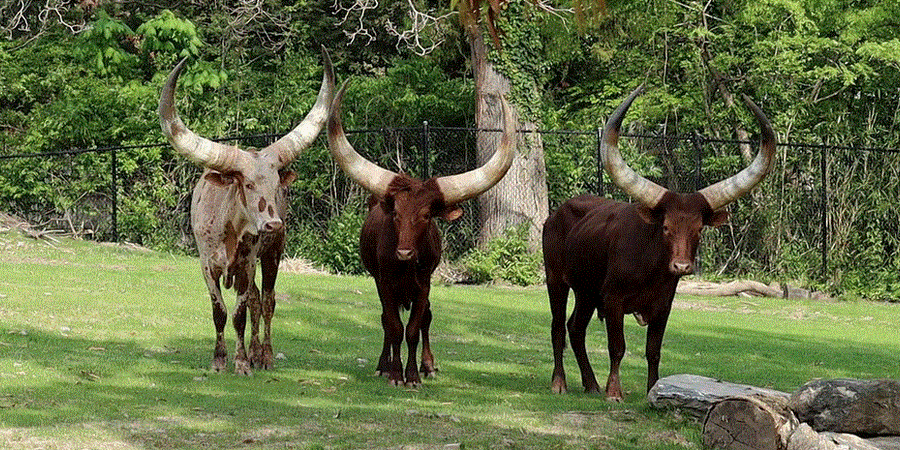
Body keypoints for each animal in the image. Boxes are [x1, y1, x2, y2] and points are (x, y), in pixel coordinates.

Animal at [157, 49, 334, 374]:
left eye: (276, 184)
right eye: (248, 184)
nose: (273, 224)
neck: (228, 230)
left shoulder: (247, 264)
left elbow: (240, 312)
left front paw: (241, 362)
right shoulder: (206, 266)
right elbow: (219, 311)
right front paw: (219, 360)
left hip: (273, 253)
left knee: (266, 301)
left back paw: (263, 355)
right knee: (255, 300)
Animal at [326, 81, 516, 386]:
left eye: (426, 216)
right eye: (395, 214)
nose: (404, 252)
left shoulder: (424, 285)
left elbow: (415, 327)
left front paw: (414, 375)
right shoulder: (384, 283)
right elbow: (393, 325)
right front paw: (394, 373)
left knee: (426, 318)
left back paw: (428, 365)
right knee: (385, 319)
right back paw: (384, 365)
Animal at [544, 84, 776, 400]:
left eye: (699, 229)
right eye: (665, 227)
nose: (681, 266)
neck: (651, 270)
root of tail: (556, 213)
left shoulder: (664, 305)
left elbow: (653, 351)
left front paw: (653, 389)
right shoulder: (613, 299)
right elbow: (617, 347)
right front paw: (614, 392)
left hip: (587, 291)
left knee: (575, 328)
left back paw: (590, 383)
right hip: (556, 280)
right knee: (558, 327)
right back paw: (559, 383)